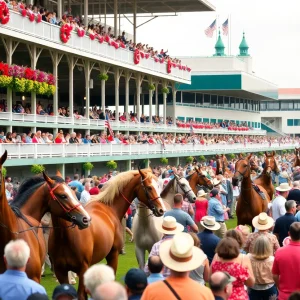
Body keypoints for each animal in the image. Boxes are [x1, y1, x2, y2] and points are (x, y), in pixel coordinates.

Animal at [49, 169, 166, 300]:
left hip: (62, 271)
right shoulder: (113, 254)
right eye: (149, 187)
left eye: (158, 186)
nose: (161, 210)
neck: (110, 208)